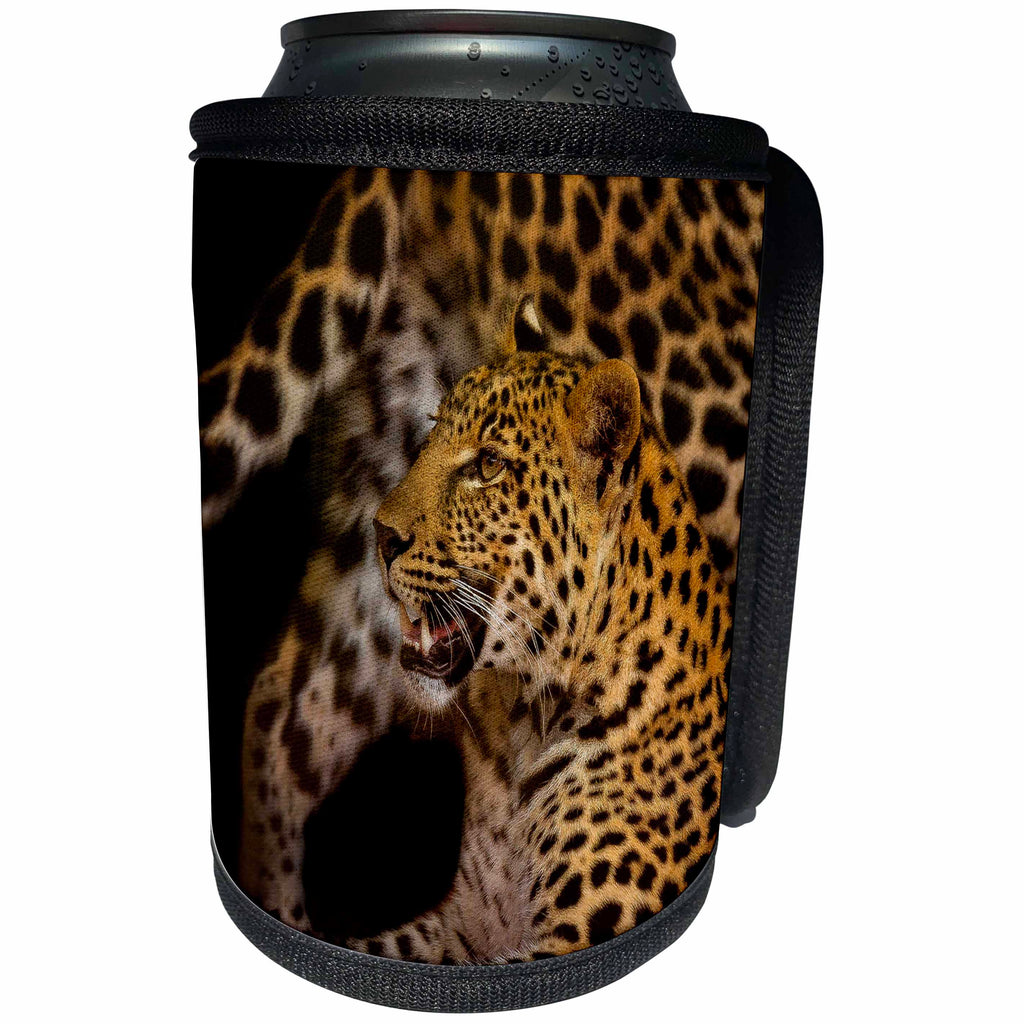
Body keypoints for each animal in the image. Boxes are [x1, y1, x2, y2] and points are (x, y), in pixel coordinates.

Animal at [197, 167, 763, 955]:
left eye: (488, 466)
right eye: (435, 433)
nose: (383, 535)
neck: (523, 724)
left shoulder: (573, 931)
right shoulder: (459, 926)